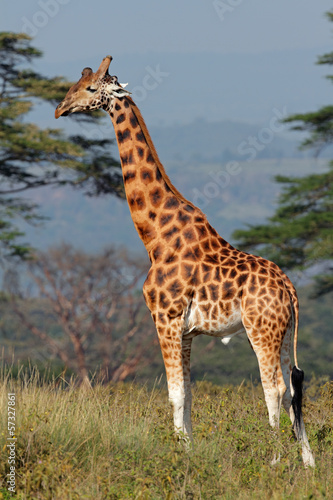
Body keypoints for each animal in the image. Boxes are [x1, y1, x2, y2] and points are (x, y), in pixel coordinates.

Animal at [55, 56, 314, 466]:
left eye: (91, 88)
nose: (60, 108)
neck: (155, 236)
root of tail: (289, 287)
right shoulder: (187, 330)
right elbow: (189, 394)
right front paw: (188, 450)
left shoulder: (165, 318)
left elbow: (175, 392)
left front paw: (180, 456)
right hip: (285, 331)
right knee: (295, 384)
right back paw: (307, 463)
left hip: (261, 329)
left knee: (274, 388)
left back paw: (274, 459)